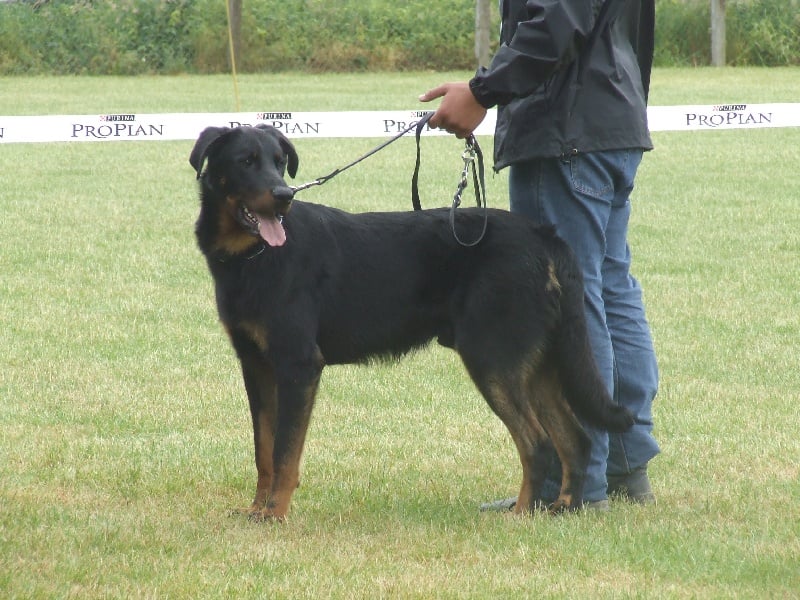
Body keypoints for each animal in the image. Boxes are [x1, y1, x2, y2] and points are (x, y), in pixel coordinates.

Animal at [189, 123, 632, 520]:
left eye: (279, 163)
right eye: (246, 161)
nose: (284, 196)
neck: (253, 256)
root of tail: (544, 235)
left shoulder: (299, 365)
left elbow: (284, 453)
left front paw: (274, 514)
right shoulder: (257, 367)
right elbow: (263, 450)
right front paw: (255, 508)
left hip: (494, 358)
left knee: (537, 443)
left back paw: (522, 514)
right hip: (536, 362)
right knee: (575, 440)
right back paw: (564, 508)